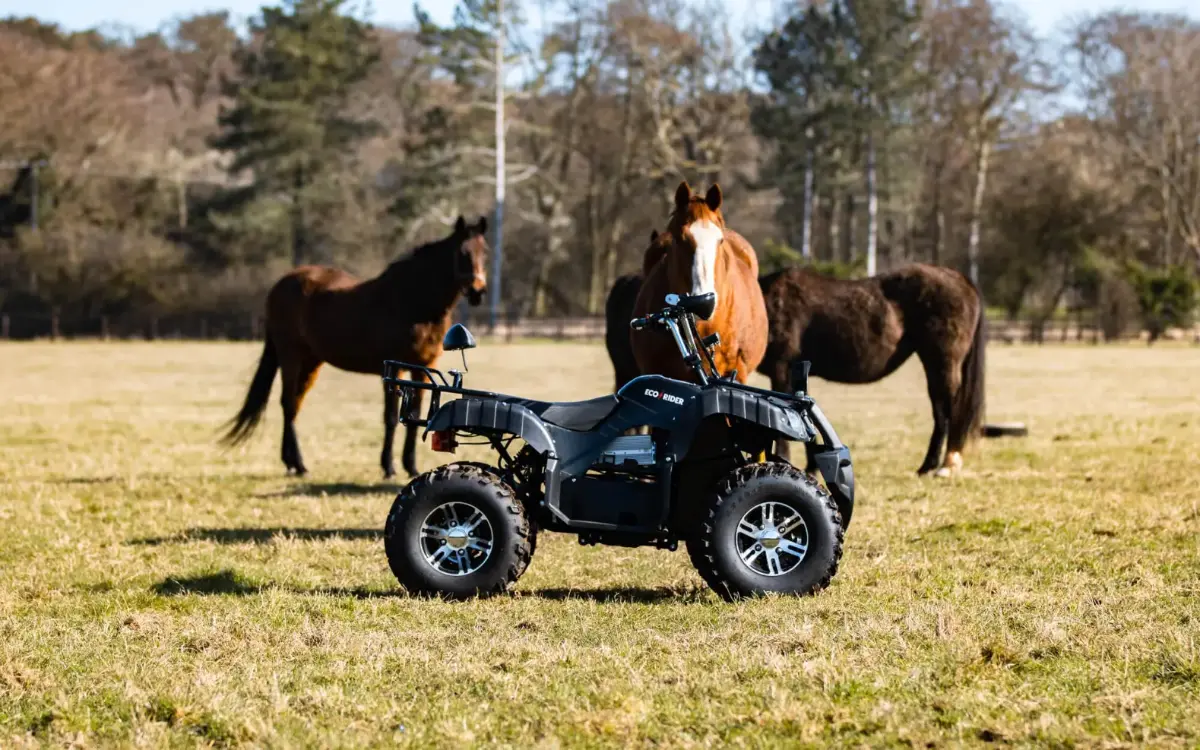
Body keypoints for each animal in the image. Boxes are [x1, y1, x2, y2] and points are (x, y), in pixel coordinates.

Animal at [221, 215, 490, 478]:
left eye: (485, 251)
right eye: (463, 253)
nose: (478, 291)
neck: (412, 301)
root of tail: (280, 285)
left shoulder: (424, 367)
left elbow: (416, 415)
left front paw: (411, 467)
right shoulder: (395, 367)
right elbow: (391, 417)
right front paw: (388, 467)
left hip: (310, 362)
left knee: (294, 405)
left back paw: (292, 463)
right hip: (290, 356)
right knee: (287, 403)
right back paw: (299, 464)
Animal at [757, 263, 986, 476]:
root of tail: (961, 279)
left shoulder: (782, 369)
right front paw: (812, 466)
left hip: (942, 364)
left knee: (948, 412)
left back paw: (945, 465)